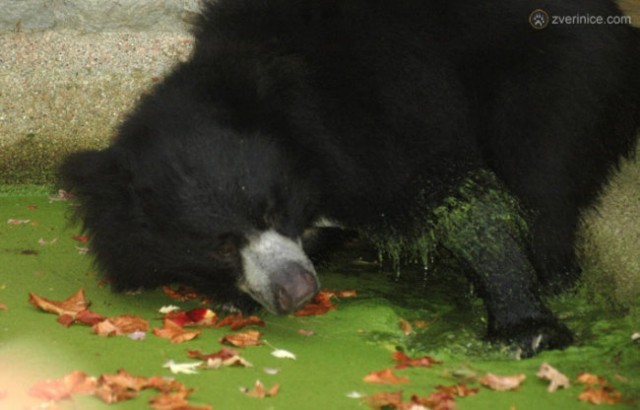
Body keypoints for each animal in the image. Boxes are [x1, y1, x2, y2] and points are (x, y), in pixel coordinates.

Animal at [61, 0, 640, 358]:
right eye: (220, 245)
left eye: (274, 209)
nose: (296, 290)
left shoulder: (385, 110)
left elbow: (466, 201)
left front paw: (525, 329)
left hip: (558, 77)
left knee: (542, 180)